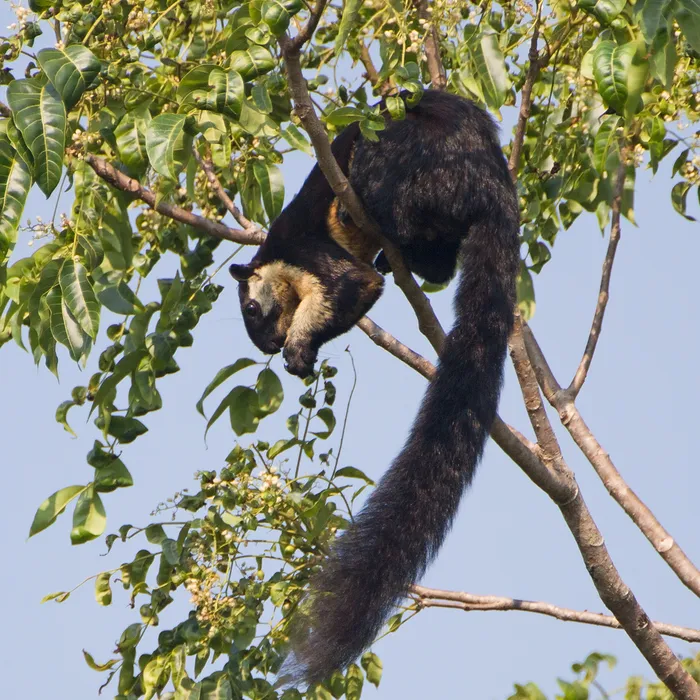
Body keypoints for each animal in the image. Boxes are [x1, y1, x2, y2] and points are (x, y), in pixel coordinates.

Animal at [229, 90, 520, 684]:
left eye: (251, 310)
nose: (269, 346)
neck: (278, 257)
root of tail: (491, 186)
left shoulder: (308, 249)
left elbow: (355, 286)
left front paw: (299, 350)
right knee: (439, 260)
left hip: (391, 163)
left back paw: (384, 233)